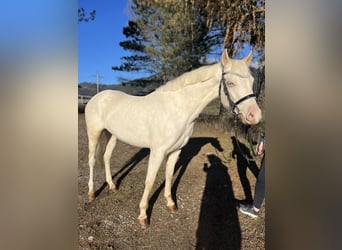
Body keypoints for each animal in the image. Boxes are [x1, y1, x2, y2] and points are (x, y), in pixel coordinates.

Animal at [85, 49, 262, 229]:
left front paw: (170, 204)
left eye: (252, 81)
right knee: (92, 160)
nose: (255, 116)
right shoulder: (157, 152)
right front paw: (143, 216)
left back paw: (112, 186)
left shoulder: (176, 151)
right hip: (94, 133)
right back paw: (91, 193)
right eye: (231, 83)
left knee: (106, 157)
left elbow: (169, 175)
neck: (177, 109)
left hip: (112, 135)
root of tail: (97, 97)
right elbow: (149, 181)